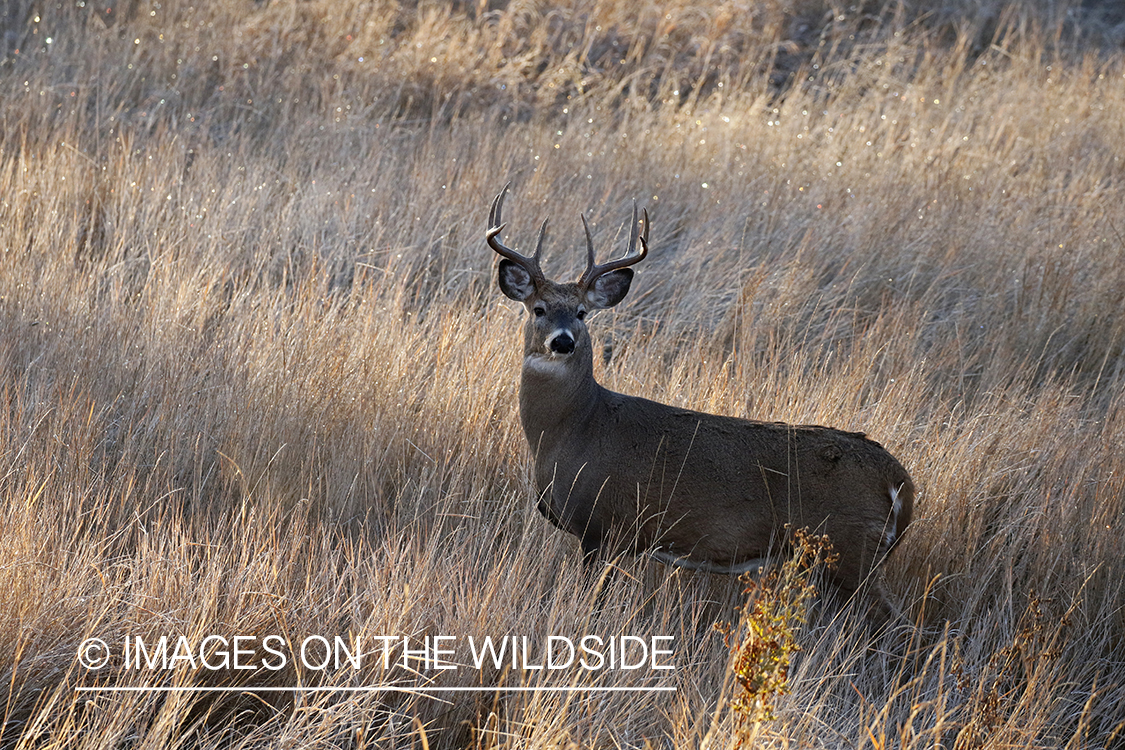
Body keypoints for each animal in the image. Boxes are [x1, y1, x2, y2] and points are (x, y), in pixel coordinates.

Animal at [486, 186, 913, 611]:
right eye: (538, 309)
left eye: (581, 313)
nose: (562, 341)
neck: (574, 427)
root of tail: (900, 481)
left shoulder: (602, 526)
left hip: (849, 548)